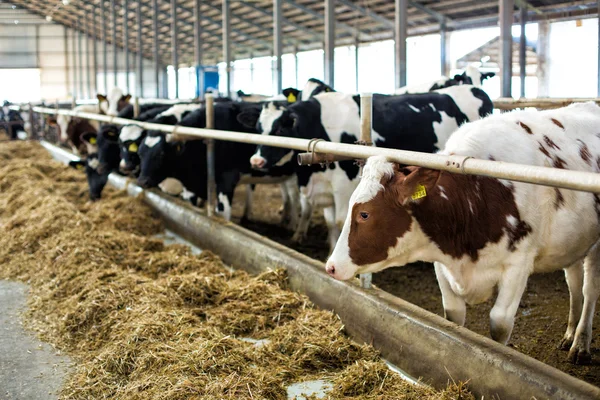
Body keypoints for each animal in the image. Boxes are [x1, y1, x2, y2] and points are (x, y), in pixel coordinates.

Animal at [241, 85, 494, 250]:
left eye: (279, 129)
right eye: (258, 128)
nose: (255, 161)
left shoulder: (343, 184)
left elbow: (340, 221)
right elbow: (329, 221)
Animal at [326, 101, 600, 364]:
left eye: (364, 214)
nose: (331, 266)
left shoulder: (519, 263)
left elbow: (500, 322)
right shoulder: (441, 260)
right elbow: (453, 316)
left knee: (589, 290)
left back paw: (580, 345)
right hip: (572, 242)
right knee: (574, 282)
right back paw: (569, 334)